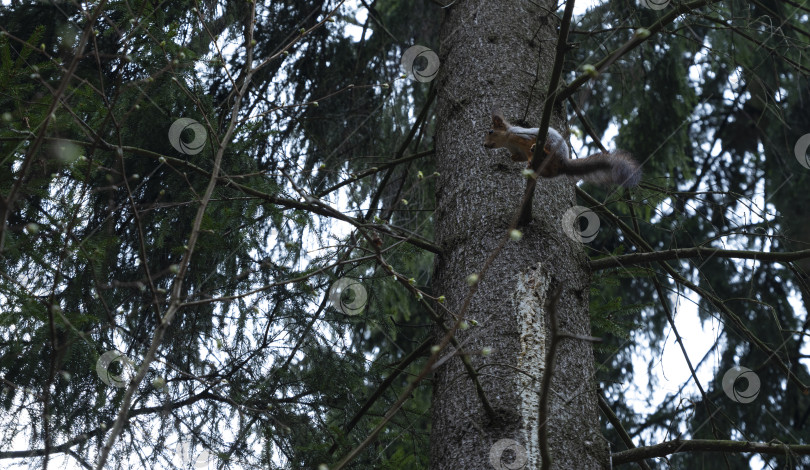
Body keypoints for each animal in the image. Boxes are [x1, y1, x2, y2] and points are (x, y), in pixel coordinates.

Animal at [483, 109, 641, 188]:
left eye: (490, 131)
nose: (484, 145)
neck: (509, 141)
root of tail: (563, 162)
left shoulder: (523, 135)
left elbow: (531, 141)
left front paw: (531, 151)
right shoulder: (517, 150)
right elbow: (518, 157)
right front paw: (514, 159)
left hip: (552, 145)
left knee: (548, 151)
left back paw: (541, 153)